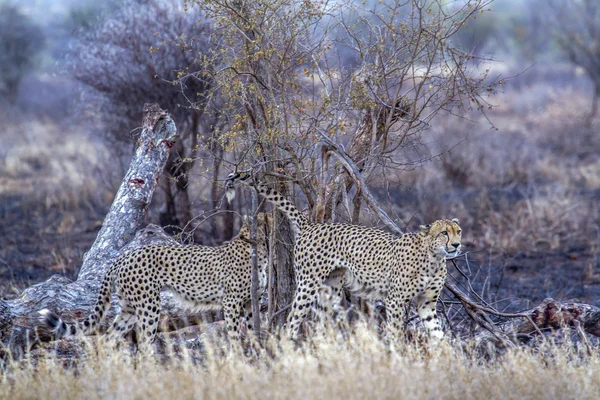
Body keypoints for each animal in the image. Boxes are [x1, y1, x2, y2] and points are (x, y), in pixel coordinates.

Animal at [39, 214, 270, 346]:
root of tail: (123, 257)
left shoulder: (250, 301)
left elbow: (253, 327)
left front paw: (255, 349)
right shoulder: (231, 302)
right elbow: (233, 331)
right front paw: (237, 356)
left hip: (129, 308)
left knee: (110, 338)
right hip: (149, 306)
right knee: (144, 342)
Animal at [227, 172, 462, 340]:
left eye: (458, 231)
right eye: (444, 233)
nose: (457, 244)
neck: (433, 258)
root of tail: (312, 225)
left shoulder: (426, 304)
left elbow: (438, 334)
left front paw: (446, 360)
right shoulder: (395, 300)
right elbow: (395, 332)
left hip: (330, 289)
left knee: (322, 322)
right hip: (307, 284)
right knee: (292, 319)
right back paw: (290, 350)